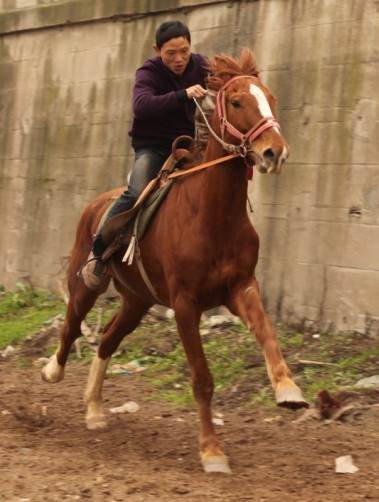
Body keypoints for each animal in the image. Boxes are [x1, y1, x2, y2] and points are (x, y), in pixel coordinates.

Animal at [42, 48, 308, 474]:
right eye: (237, 102)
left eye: (270, 97)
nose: (274, 151)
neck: (212, 214)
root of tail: (97, 203)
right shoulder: (185, 304)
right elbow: (202, 379)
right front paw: (212, 452)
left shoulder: (241, 287)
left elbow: (268, 333)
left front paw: (288, 389)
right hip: (84, 284)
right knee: (71, 325)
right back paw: (53, 370)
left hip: (137, 300)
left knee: (107, 339)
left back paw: (95, 409)